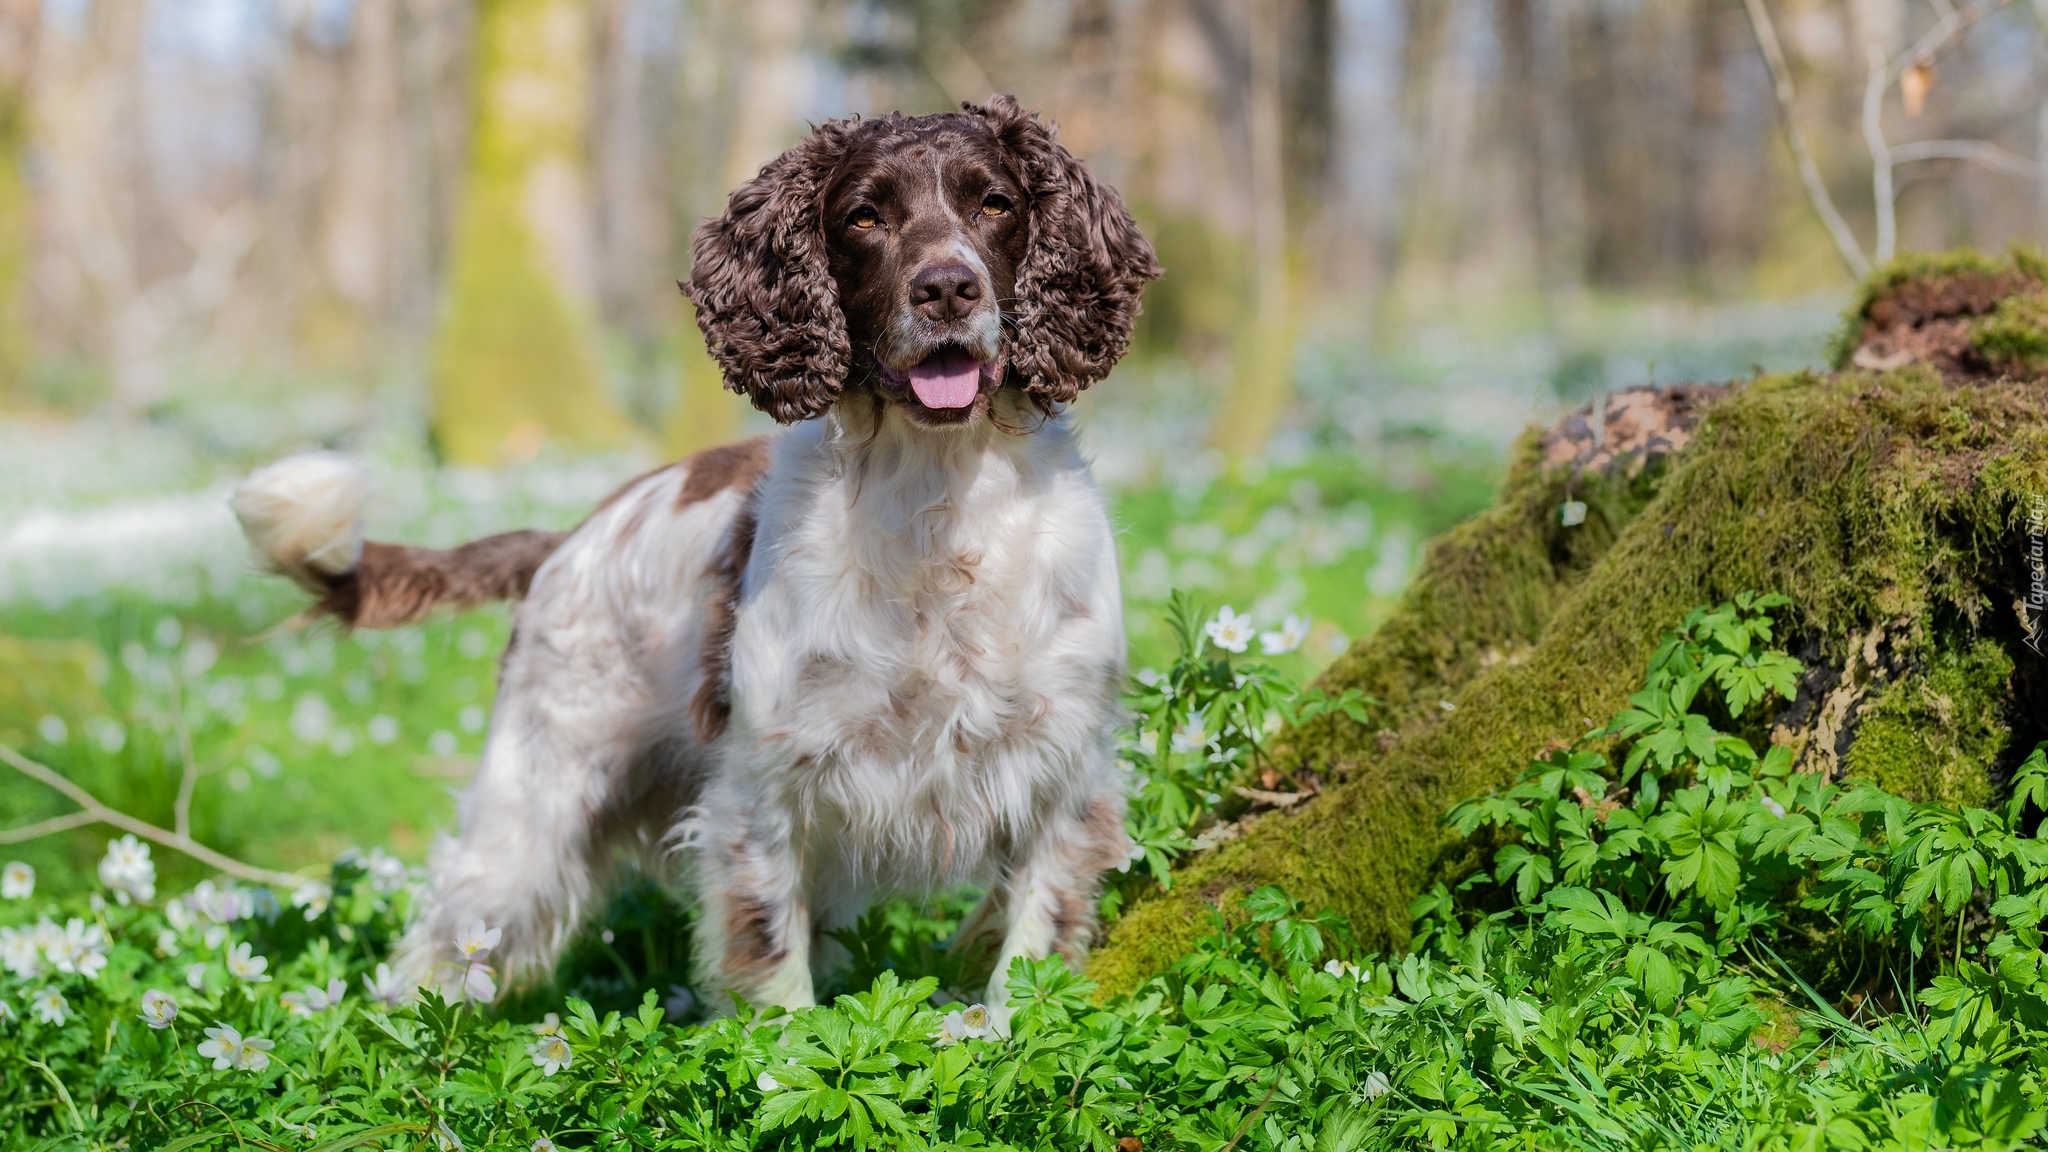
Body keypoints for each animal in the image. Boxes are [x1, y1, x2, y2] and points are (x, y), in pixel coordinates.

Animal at [232, 94, 1163, 1004]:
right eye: (864, 216)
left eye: (996, 203)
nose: (948, 289)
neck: (936, 498)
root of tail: (568, 536)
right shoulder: (763, 788)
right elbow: (777, 981)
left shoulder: (1065, 771)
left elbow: (1032, 956)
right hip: (530, 808)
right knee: (441, 949)